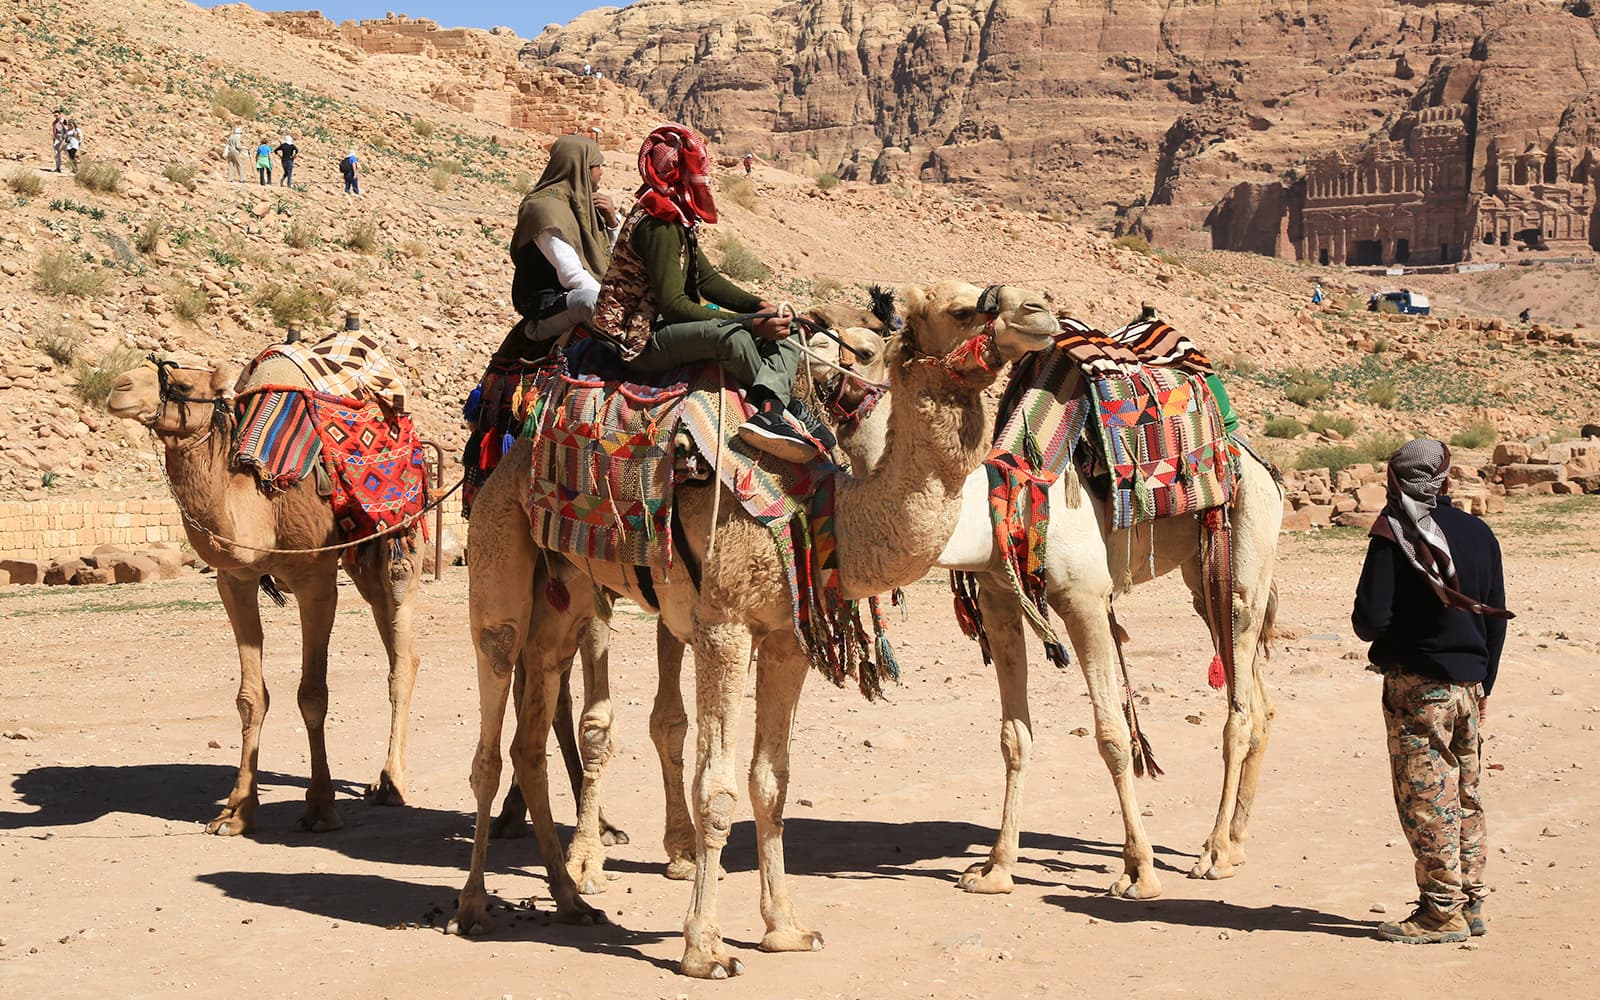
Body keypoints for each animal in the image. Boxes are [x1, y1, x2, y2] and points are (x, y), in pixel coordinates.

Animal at [106, 359, 421, 835]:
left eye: (182, 384)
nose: (117, 387)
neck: (262, 504)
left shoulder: (315, 579)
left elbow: (313, 695)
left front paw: (320, 808)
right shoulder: (234, 579)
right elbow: (250, 697)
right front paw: (235, 812)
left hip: (400, 538)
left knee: (401, 655)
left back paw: (391, 783)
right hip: (360, 558)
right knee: (396, 641)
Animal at [447, 281, 1060, 979]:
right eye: (963, 308)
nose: (1040, 310)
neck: (818, 505)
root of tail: (509, 459)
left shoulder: (787, 639)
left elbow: (772, 783)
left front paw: (785, 929)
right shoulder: (725, 625)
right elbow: (714, 789)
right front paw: (704, 948)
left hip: (566, 598)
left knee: (529, 740)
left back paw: (572, 900)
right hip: (498, 567)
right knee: (490, 738)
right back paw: (474, 906)